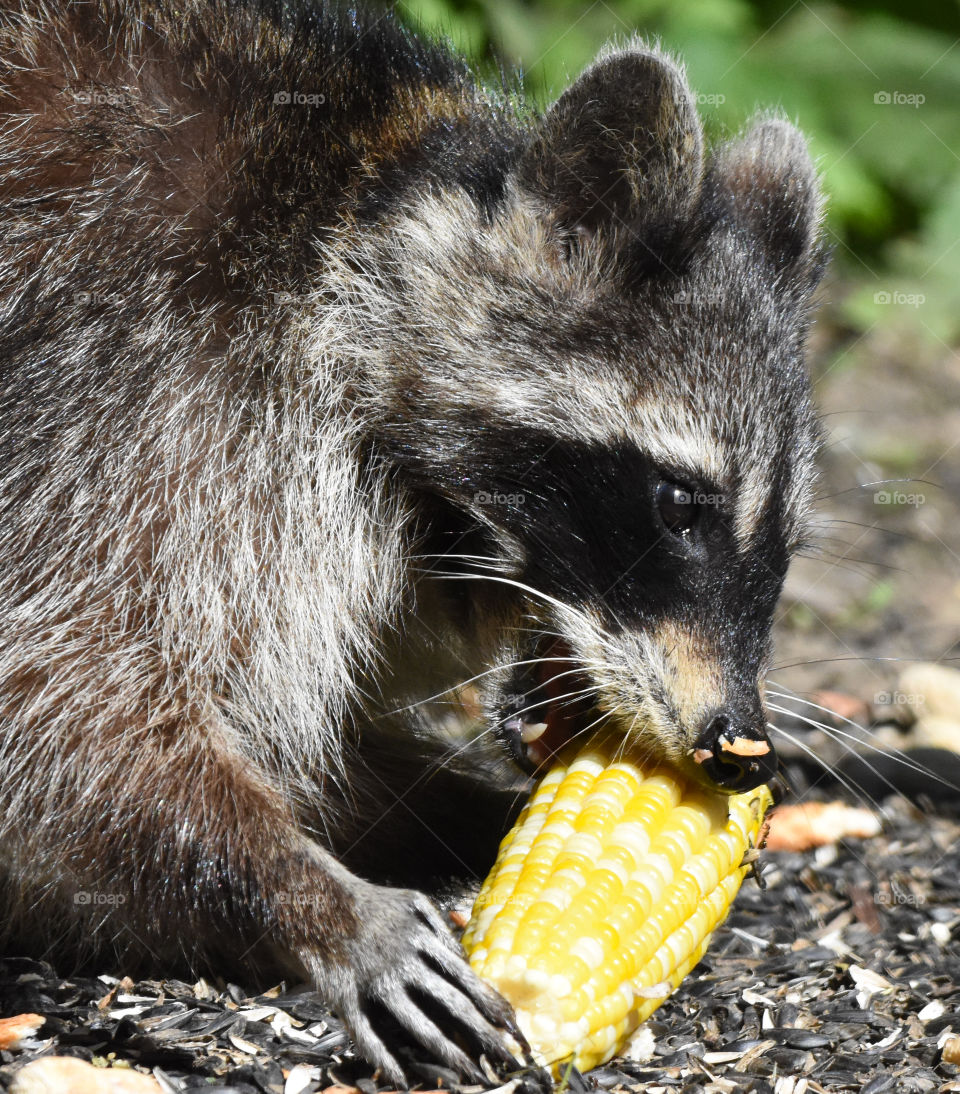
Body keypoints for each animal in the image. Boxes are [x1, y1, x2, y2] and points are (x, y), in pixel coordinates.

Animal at [0, 0, 826, 1076]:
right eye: (679, 505)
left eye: (785, 546)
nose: (740, 744)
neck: (360, 209)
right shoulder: (143, 386)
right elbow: (61, 698)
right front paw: (314, 896)